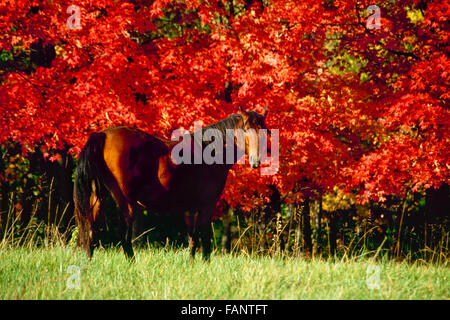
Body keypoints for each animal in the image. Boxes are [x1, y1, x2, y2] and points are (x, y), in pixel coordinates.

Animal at [73, 107, 268, 260]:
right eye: (245, 130)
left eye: (264, 131)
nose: (255, 161)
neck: (209, 151)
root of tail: (103, 135)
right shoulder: (207, 205)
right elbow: (204, 240)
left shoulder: (190, 209)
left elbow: (192, 239)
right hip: (126, 202)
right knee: (125, 240)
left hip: (96, 199)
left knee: (90, 233)